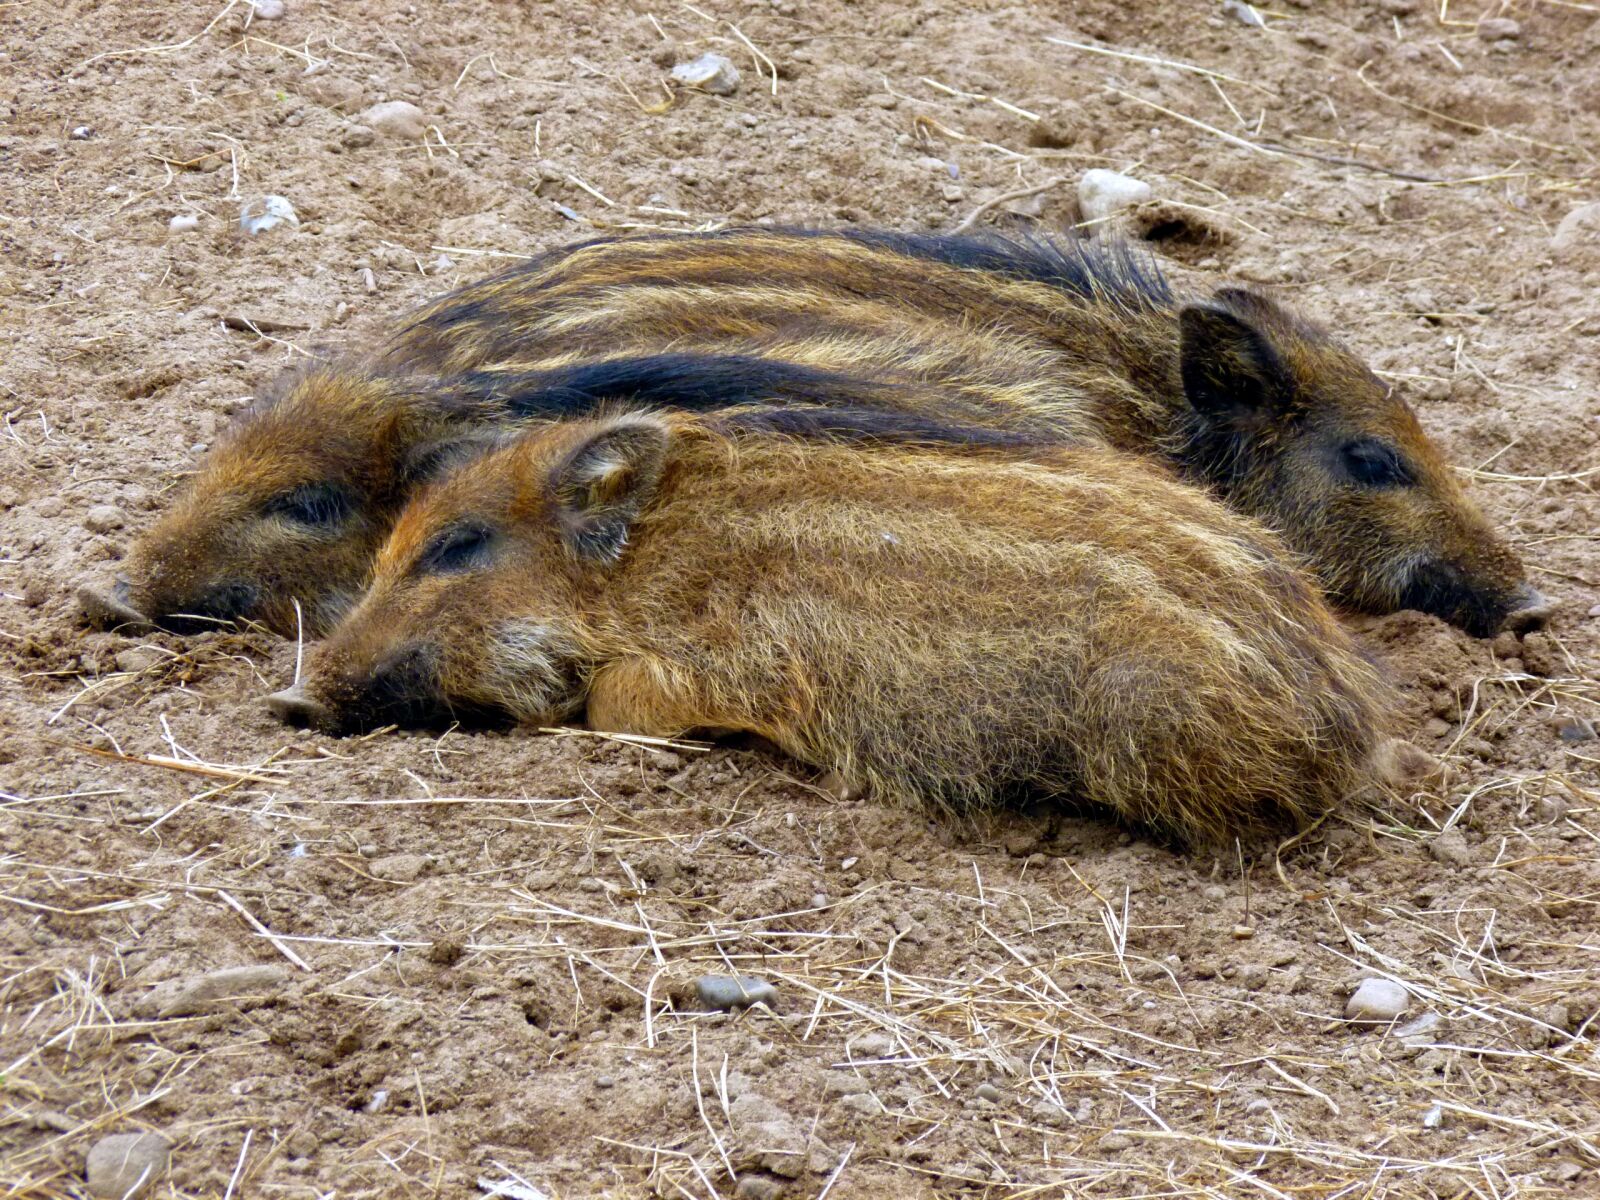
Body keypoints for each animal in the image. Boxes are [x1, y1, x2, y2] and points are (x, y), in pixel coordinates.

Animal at [266, 409, 1398, 847]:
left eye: (455, 547)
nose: (290, 697)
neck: (650, 568)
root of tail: (1348, 722)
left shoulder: (731, 668)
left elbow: (618, 702)